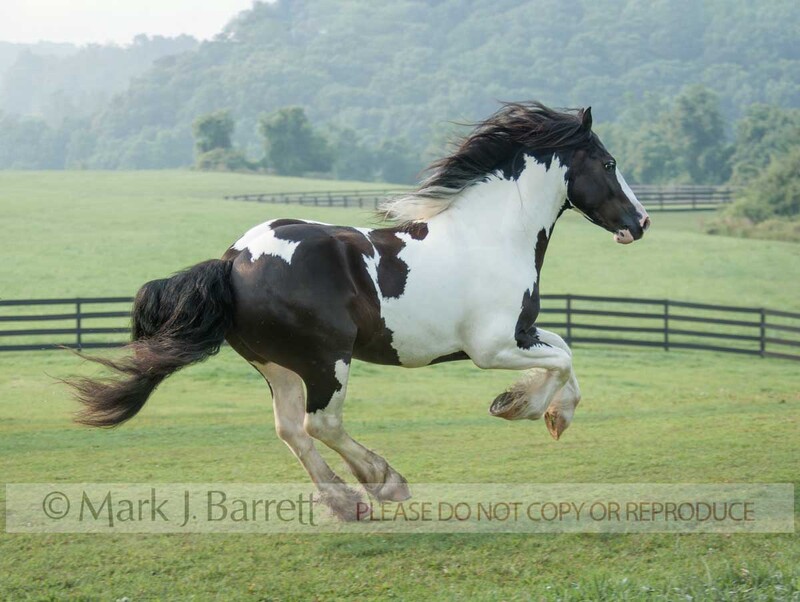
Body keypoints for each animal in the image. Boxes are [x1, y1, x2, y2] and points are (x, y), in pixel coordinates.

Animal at [71, 102, 650, 520]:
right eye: (609, 163)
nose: (641, 222)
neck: (493, 235)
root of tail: (234, 260)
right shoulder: (492, 347)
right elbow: (562, 360)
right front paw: (521, 406)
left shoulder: (521, 332)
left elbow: (565, 352)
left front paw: (549, 413)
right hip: (326, 358)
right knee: (321, 422)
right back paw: (384, 482)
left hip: (278, 365)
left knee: (290, 428)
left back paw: (345, 502)